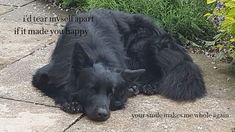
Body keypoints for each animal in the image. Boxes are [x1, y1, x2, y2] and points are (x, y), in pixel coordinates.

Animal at [32, 8, 206, 121]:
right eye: (91, 89)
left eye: (111, 92)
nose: (103, 114)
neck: (96, 53)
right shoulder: (43, 75)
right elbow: (56, 88)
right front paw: (70, 102)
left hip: (140, 47)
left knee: (157, 71)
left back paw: (147, 86)